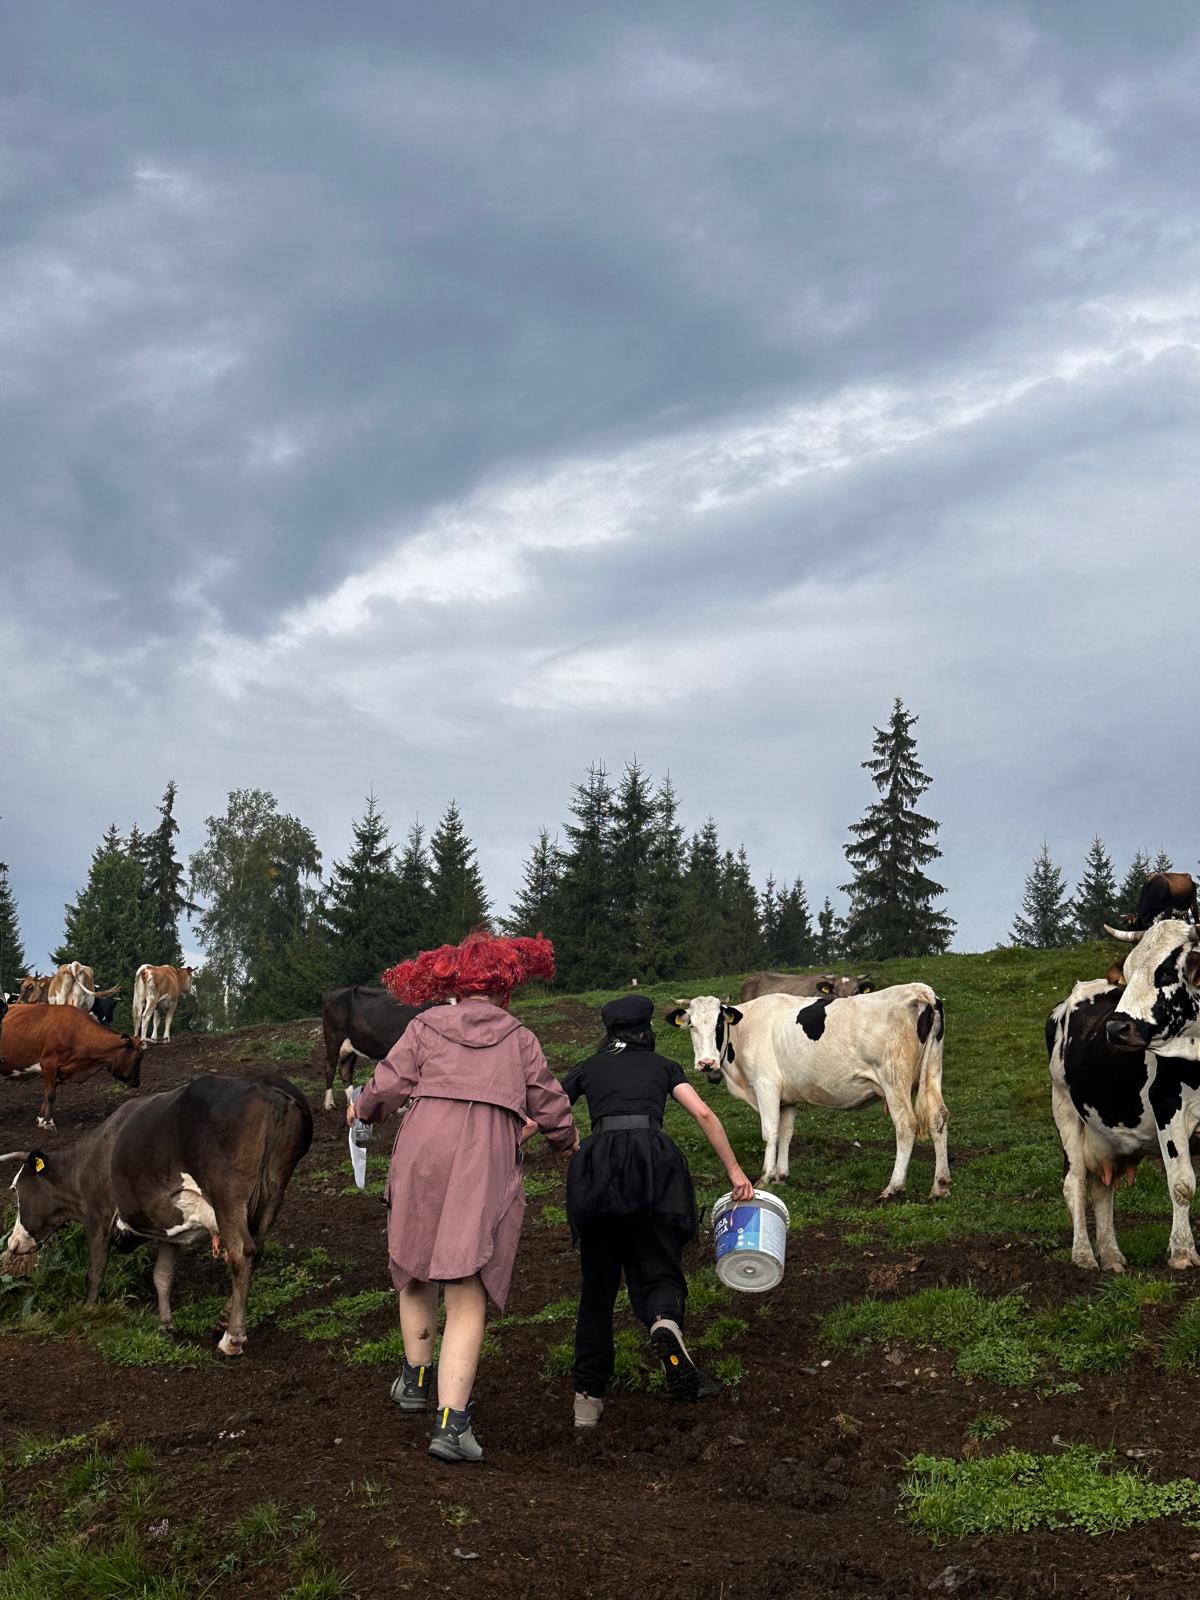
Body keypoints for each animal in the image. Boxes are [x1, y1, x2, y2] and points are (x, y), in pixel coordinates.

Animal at [0, 1004, 144, 1132]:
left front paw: (41, 1119)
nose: (137, 1082)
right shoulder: (49, 1063)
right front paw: (48, 1123)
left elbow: (46, 1093)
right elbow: (51, 1095)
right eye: (138, 1058)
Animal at [2, 1075, 312, 1350]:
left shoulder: (98, 1215)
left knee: (241, 1254)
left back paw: (232, 1338)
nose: (13, 1242)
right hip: (274, 1191)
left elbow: (95, 1271)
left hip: (228, 1198)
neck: (89, 1160)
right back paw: (223, 1321)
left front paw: (88, 1311)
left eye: (16, 1188)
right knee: (256, 1251)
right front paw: (164, 1324)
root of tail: (270, 1090)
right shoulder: (169, 1227)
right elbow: (161, 1276)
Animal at [668, 985, 947, 1203]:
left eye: (718, 1023)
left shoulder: (766, 1086)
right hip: (933, 1072)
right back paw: (940, 1185)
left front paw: (765, 1177)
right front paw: (780, 1175)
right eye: (691, 1025)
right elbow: (786, 1133)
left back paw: (894, 1187)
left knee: (906, 1125)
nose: (706, 1063)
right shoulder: (787, 1097)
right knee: (938, 1118)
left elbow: (770, 1132)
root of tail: (919, 990)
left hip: (894, 1078)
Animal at [1049, 972, 1200, 1273]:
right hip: (1064, 1106)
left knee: (1101, 1188)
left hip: (1107, 1133)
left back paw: (1111, 1256)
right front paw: (1183, 1252)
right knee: (1075, 1182)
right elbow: (1182, 1185)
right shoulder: (1168, 1104)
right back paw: (1083, 1255)